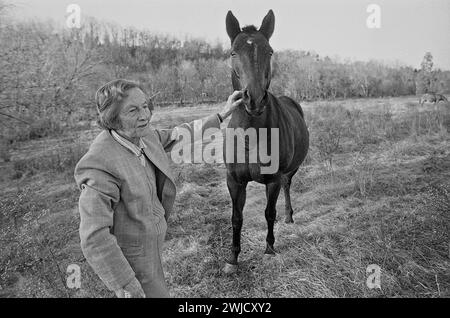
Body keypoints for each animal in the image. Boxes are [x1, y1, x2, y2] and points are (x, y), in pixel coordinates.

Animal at [222, 9, 308, 274]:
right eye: (233, 52)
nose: (255, 100)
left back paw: (289, 216)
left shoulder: (273, 179)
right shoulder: (234, 181)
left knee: (288, 187)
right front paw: (233, 257)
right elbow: (236, 217)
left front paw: (269, 248)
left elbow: (269, 212)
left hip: (289, 171)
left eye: (269, 51)